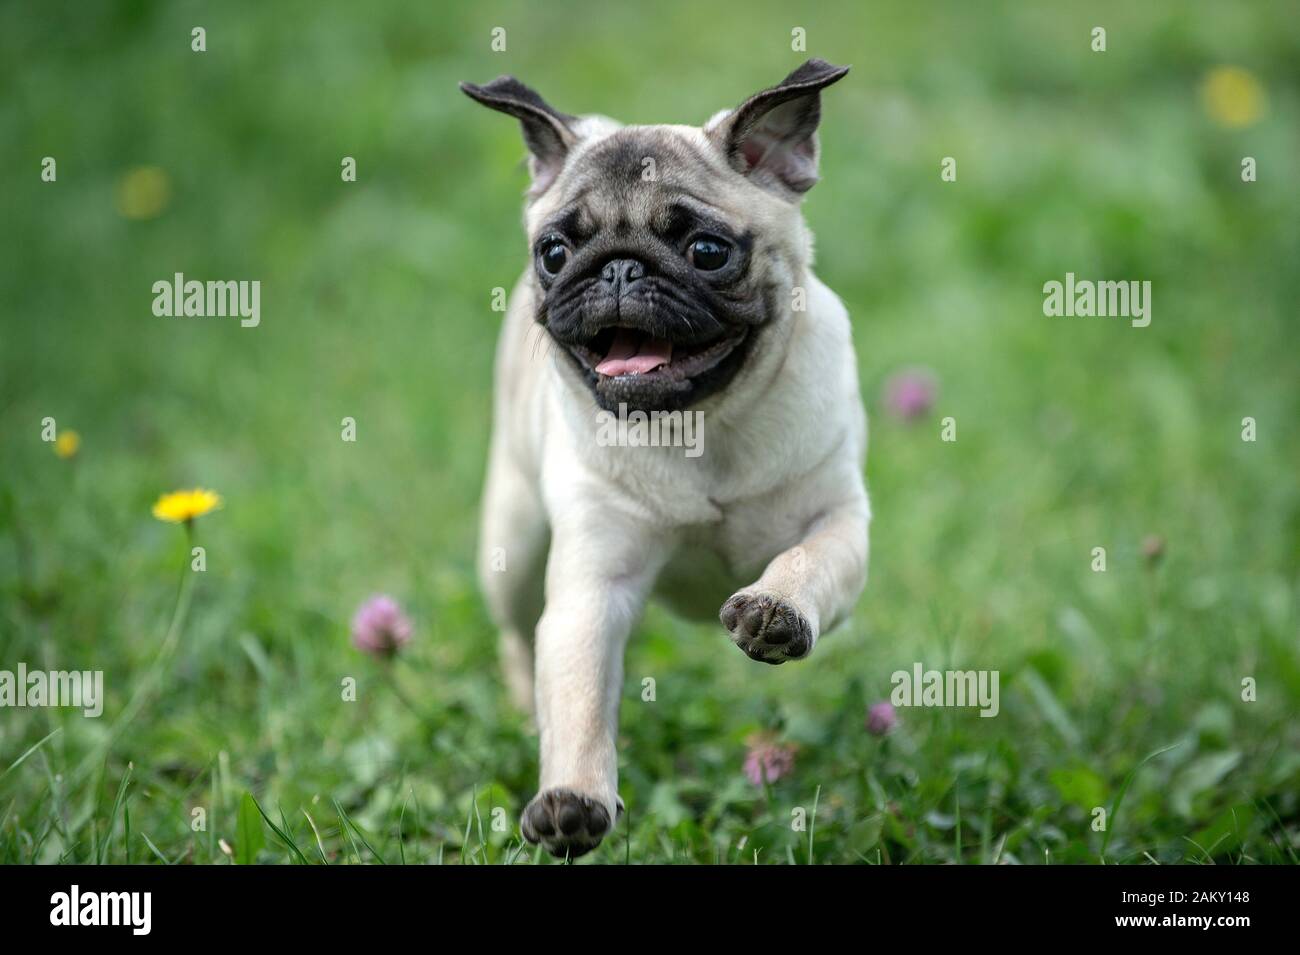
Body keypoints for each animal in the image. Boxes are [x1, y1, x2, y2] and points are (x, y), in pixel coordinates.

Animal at [462, 61, 868, 857]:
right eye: (554, 253)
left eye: (707, 251)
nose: (617, 270)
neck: (701, 426)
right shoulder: (592, 590)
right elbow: (580, 697)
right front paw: (573, 798)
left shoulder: (840, 517)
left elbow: (811, 559)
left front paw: (775, 608)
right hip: (512, 546)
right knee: (520, 638)